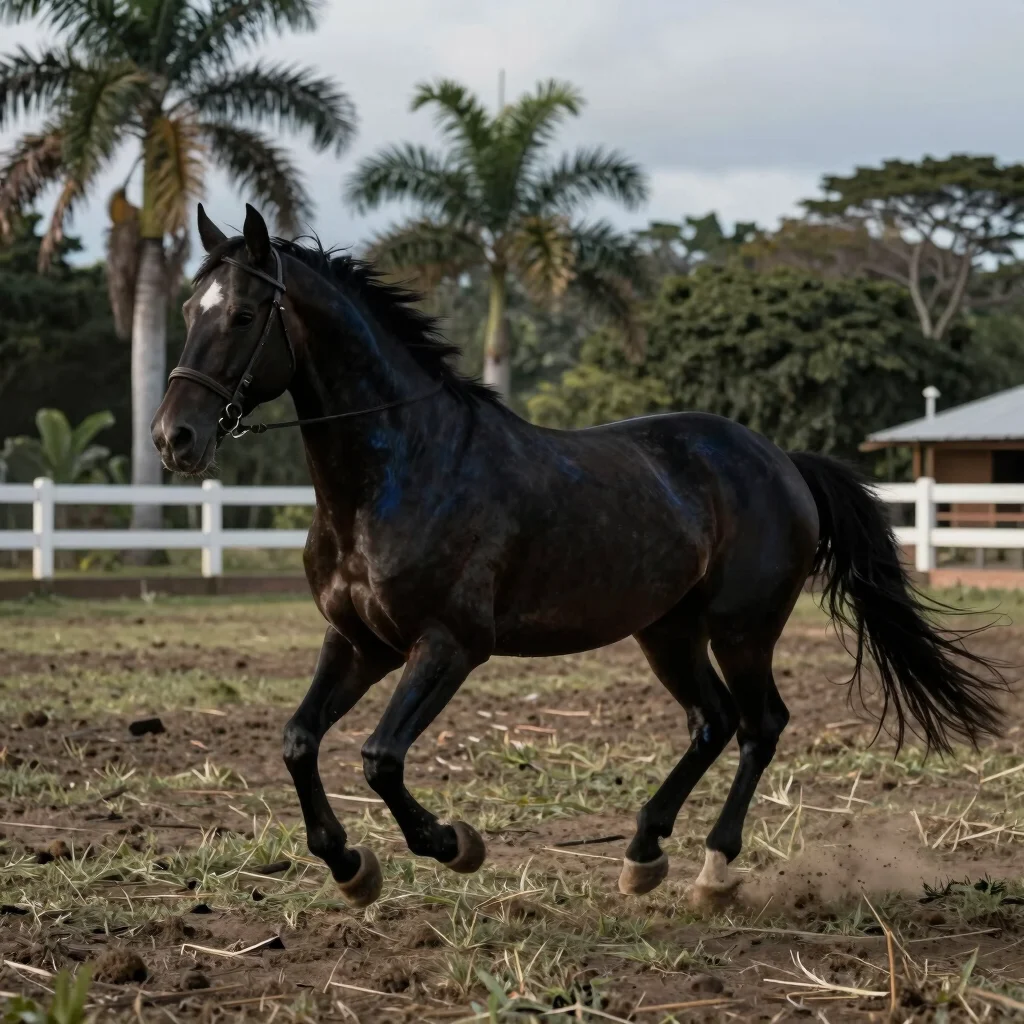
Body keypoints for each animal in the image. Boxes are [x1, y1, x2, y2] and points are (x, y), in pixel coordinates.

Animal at [152, 203, 1005, 909]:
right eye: (189, 309)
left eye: (244, 312)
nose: (173, 437)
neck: (400, 471)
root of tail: (781, 461)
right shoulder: (360, 641)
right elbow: (299, 742)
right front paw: (350, 867)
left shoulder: (450, 645)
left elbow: (380, 758)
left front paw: (453, 845)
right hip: (667, 631)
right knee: (713, 721)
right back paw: (643, 853)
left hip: (742, 629)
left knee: (760, 723)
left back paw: (714, 870)